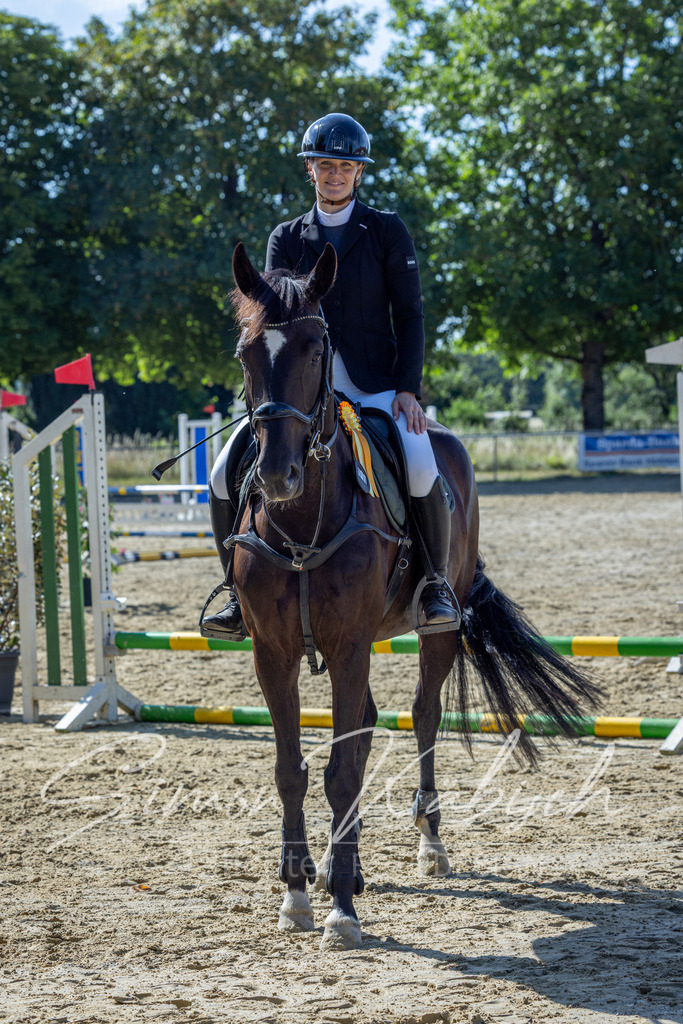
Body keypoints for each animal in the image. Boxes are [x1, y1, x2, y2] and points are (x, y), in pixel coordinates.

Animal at [223, 240, 600, 950]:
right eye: (245, 352)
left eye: (316, 346)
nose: (279, 476)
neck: (302, 520)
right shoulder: (272, 650)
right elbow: (292, 768)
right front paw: (298, 894)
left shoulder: (347, 645)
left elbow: (343, 769)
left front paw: (341, 911)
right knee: (371, 724)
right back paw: (343, 865)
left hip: (437, 624)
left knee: (424, 713)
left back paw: (428, 843)